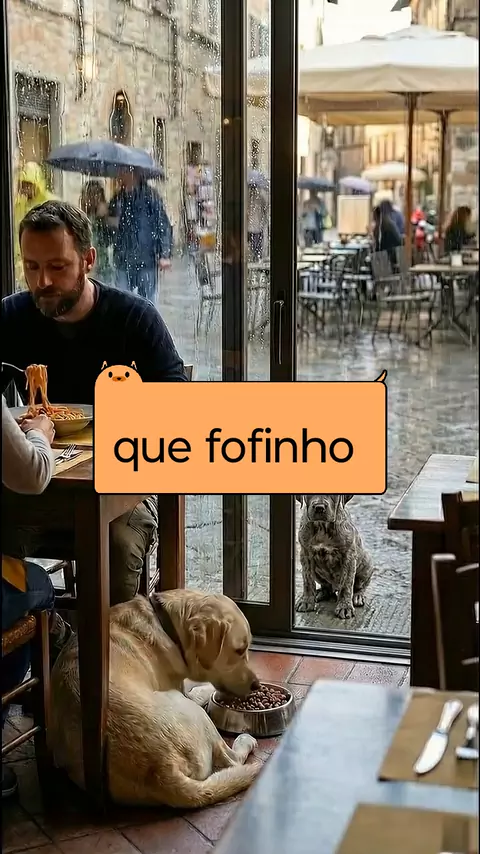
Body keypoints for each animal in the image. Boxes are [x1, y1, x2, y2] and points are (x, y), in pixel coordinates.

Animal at [49, 590, 262, 808]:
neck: (168, 627)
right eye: (239, 650)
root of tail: (162, 771)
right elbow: (199, 690)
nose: (257, 685)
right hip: (189, 708)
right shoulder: (182, 689)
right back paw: (245, 740)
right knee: (232, 759)